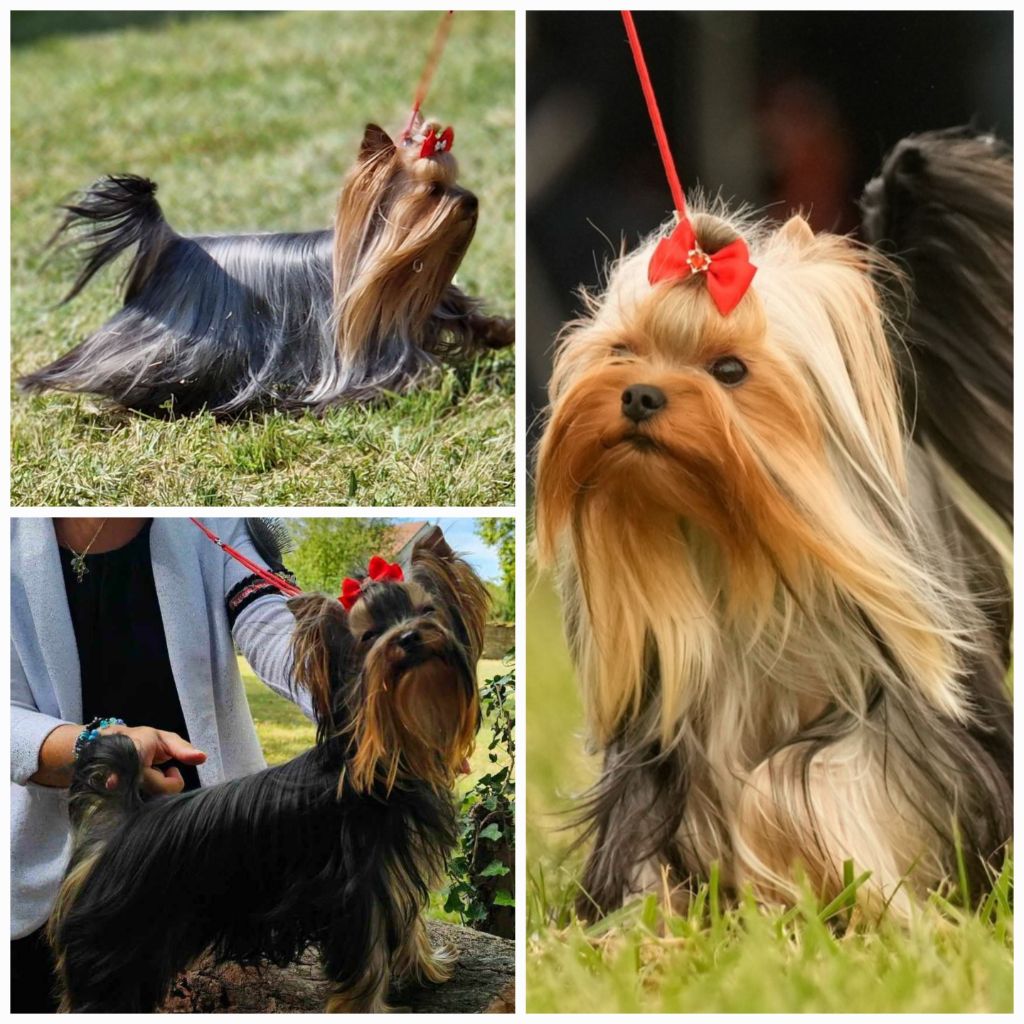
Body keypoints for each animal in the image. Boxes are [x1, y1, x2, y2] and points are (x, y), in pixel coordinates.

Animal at [16, 120, 512, 419]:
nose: (472, 201)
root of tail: (172, 243)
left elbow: (459, 315)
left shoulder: (425, 301)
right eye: (433, 190)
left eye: (456, 180)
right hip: (166, 345)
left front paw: (498, 332)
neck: (387, 259)